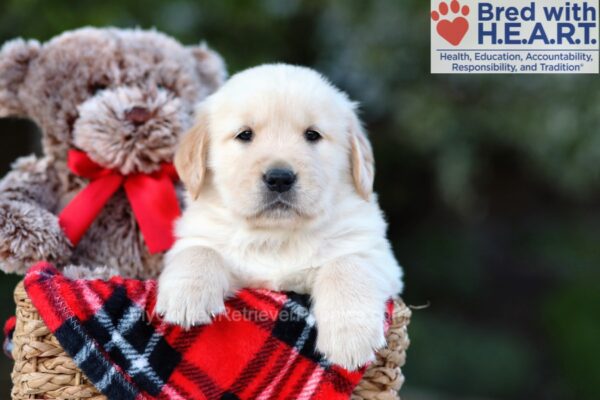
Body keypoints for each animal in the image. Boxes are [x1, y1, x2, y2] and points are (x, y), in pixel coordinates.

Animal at [157, 64, 406, 370]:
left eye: (312, 135)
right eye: (245, 135)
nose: (279, 178)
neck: (276, 236)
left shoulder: (375, 253)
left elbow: (346, 264)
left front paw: (350, 337)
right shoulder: (201, 239)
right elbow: (199, 250)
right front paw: (186, 296)